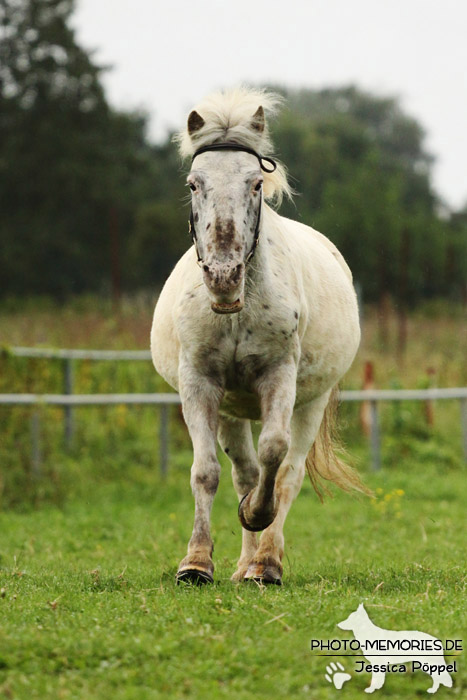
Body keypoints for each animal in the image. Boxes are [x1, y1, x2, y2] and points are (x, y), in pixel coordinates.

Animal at [152, 89, 372, 584]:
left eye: (255, 183)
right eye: (194, 184)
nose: (223, 276)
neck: (237, 309)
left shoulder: (279, 378)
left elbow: (276, 452)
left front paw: (256, 518)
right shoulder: (199, 384)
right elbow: (205, 471)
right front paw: (196, 563)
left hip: (310, 402)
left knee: (286, 473)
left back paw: (264, 563)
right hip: (230, 410)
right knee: (245, 473)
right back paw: (242, 564)